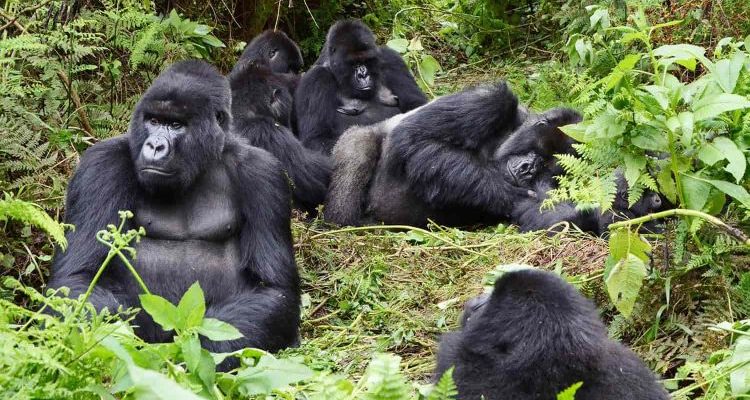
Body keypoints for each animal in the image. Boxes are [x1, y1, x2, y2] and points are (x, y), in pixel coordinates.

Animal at [298, 19, 432, 155]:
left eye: (367, 60)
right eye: (353, 63)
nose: (363, 75)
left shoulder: (391, 59)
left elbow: (417, 105)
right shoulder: (316, 78)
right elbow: (317, 138)